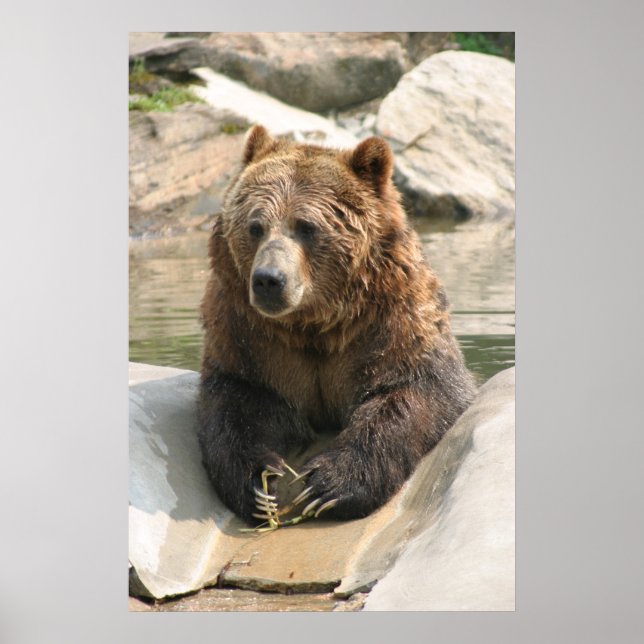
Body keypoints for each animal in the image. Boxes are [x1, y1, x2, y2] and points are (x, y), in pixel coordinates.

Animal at [198, 125, 476, 525]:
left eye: (306, 227)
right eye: (255, 226)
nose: (268, 280)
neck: (314, 321)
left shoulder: (389, 323)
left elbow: (416, 390)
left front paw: (326, 485)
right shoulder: (249, 336)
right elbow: (238, 400)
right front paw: (259, 485)